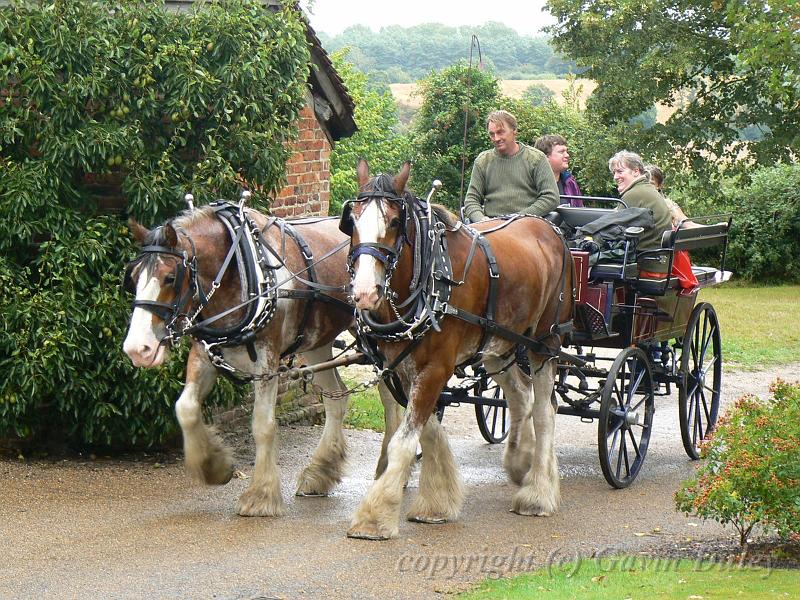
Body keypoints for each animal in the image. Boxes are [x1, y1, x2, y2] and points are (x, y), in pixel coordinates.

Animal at [122, 204, 404, 516]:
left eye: (170, 277)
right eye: (132, 277)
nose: (137, 348)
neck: (240, 269)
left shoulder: (267, 361)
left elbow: (262, 424)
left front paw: (261, 495)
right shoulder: (204, 353)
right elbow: (185, 409)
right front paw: (214, 466)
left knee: (391, 398)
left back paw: (388, 468)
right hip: (317, 342)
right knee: (337, 397)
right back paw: (320, 472)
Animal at [344, 159, 576, 540]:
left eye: (393, 222)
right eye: (352, 221)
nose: (364, 292)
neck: (429, 277)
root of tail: (550, 228)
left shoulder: (437, 367)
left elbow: (404, 440)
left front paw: (374, 517)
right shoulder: (406, 368)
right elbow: (427, 432)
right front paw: (438, 501)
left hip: (545, 343)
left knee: (545, 409)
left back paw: (538, 493)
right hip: (499, 345)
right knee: (520, 396)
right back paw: (521, 462)